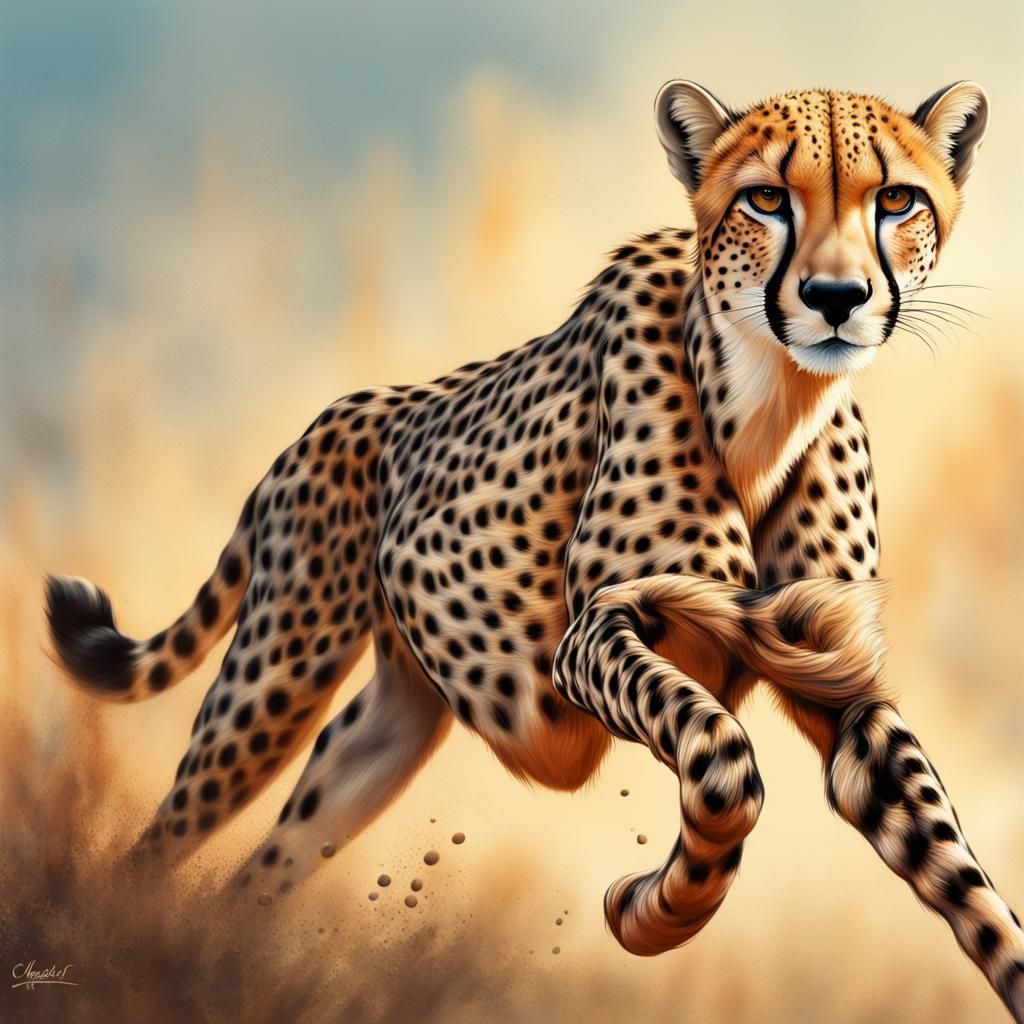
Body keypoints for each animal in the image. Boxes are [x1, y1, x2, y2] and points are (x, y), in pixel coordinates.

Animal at [45, 80, 1024, 1020]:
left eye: (895, 199)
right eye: (766, 199)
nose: (835, 299)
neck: (770, 403)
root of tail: (326, 420)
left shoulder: (842, 682)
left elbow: (966, 883)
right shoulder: (593, 635)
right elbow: (722, 764)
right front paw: (655, 910)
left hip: (382, 732)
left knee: (259, 874)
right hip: (270, 685)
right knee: (157, 847)